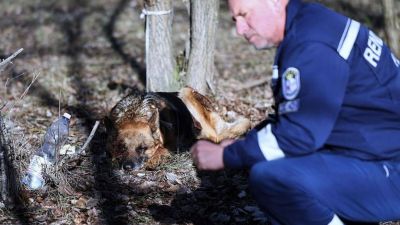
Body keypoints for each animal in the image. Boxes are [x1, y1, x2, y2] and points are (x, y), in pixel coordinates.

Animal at [106, 87, 250, 170]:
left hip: (186, 91)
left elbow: (161, 150)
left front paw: (155, 158)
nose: (127, 167)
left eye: (142, 148)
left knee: (215, 137)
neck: (136, 113)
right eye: (122, 147)